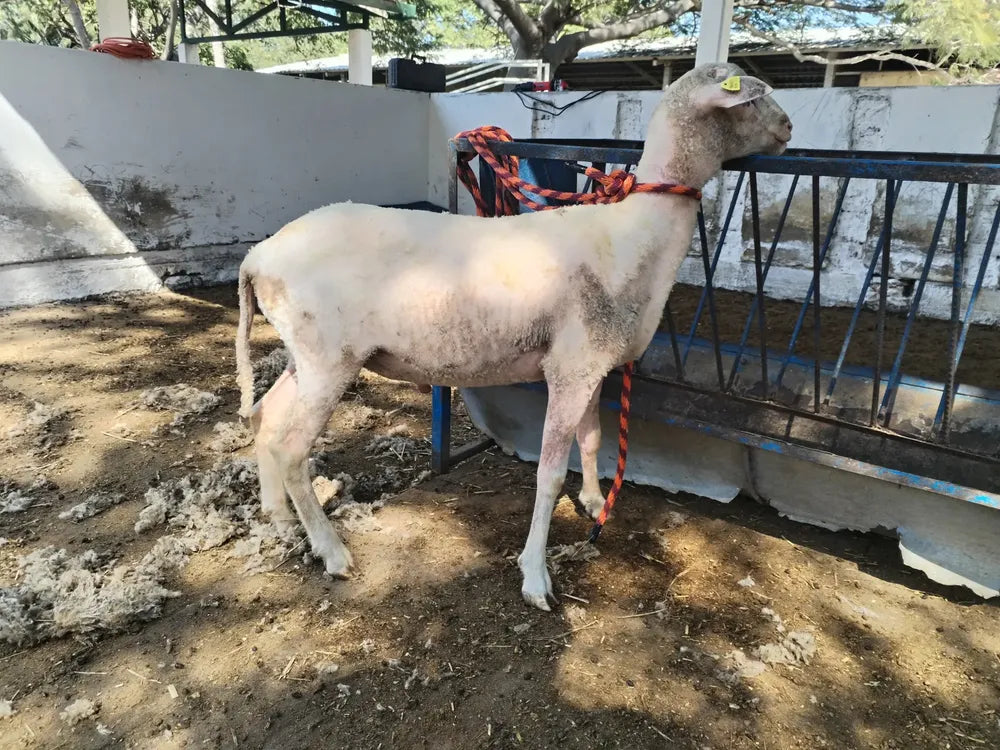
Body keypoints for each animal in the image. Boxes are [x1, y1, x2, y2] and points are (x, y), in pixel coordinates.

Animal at [234, 62, 793, 611]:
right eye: (751, 96)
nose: (788, 127)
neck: (636, 235)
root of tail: (258, 257)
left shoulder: (589, 362)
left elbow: (592, 437)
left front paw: (595, 501)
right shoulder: (570, 367)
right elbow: (549, 474)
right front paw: (535, 577)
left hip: (304, 354)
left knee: (266, 418)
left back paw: (279, 519)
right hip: (329, 355)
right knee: (291, 448)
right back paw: (331, 551)